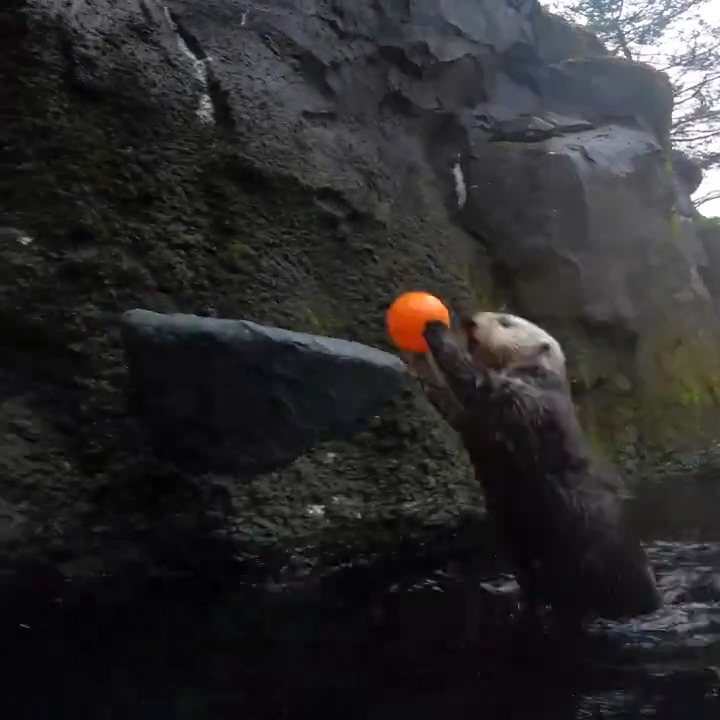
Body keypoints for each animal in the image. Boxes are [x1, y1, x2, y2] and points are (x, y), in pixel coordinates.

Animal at [407, 311, 662, 624]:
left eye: (505, 321)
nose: (470, 321)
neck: (536, 377)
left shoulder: (518, 396)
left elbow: (473, 379)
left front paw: (435, 329)